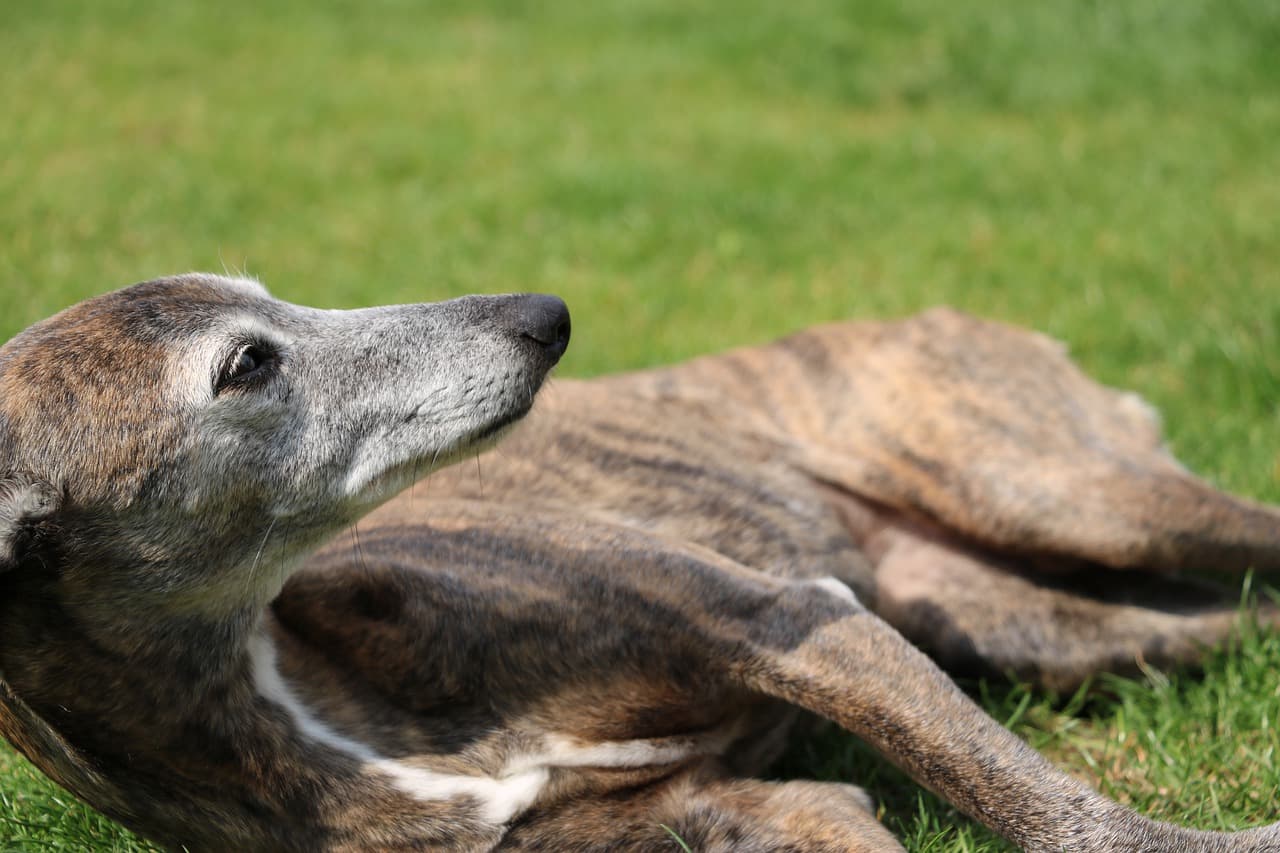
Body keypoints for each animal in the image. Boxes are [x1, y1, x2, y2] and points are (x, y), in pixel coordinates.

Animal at [0, 275, 1274, 845]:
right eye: (248, 364)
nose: (544, 313)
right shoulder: (741, 807)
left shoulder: (787, 619)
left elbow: (1060, 815)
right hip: (1027, 618)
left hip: (1077, 497)